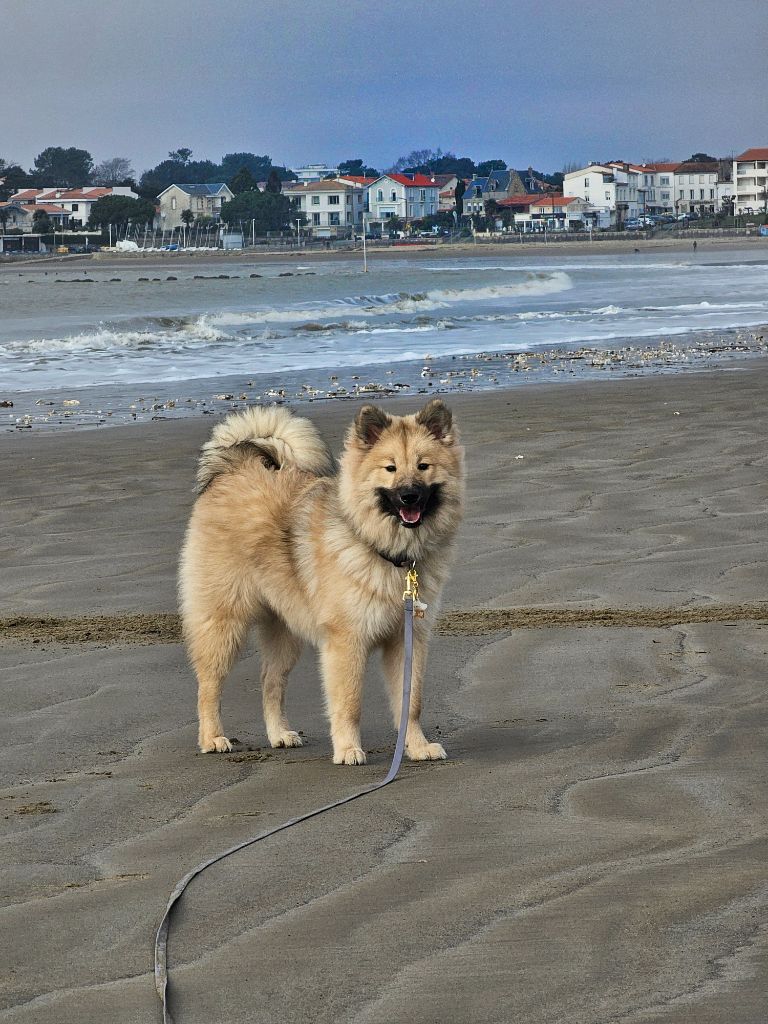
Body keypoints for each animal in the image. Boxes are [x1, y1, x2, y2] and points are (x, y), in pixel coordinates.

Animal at [180, 399, 466, 770]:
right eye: (390, 468)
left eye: (423, 466)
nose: (409, 496)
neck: (386, 551)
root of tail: (234, 469)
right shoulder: (346, 642)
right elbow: (349, 703)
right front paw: (347, 749)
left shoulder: (408, 638)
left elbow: (411, 702)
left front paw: (416, 746)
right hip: (224, 623)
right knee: (209, 685)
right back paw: (212, 737)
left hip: (285, 633)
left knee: (270, 682)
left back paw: (279, 734)